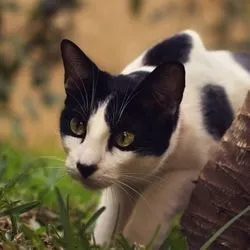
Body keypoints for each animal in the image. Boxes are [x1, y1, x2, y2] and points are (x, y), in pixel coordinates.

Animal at [59, 29, 250, 248]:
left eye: (124, 138)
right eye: (77, 126)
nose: (85, 166)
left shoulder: (193, 167)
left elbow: (150, 209)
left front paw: (134, 243)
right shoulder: (122, 182)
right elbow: (111, 214)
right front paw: (101, 243)